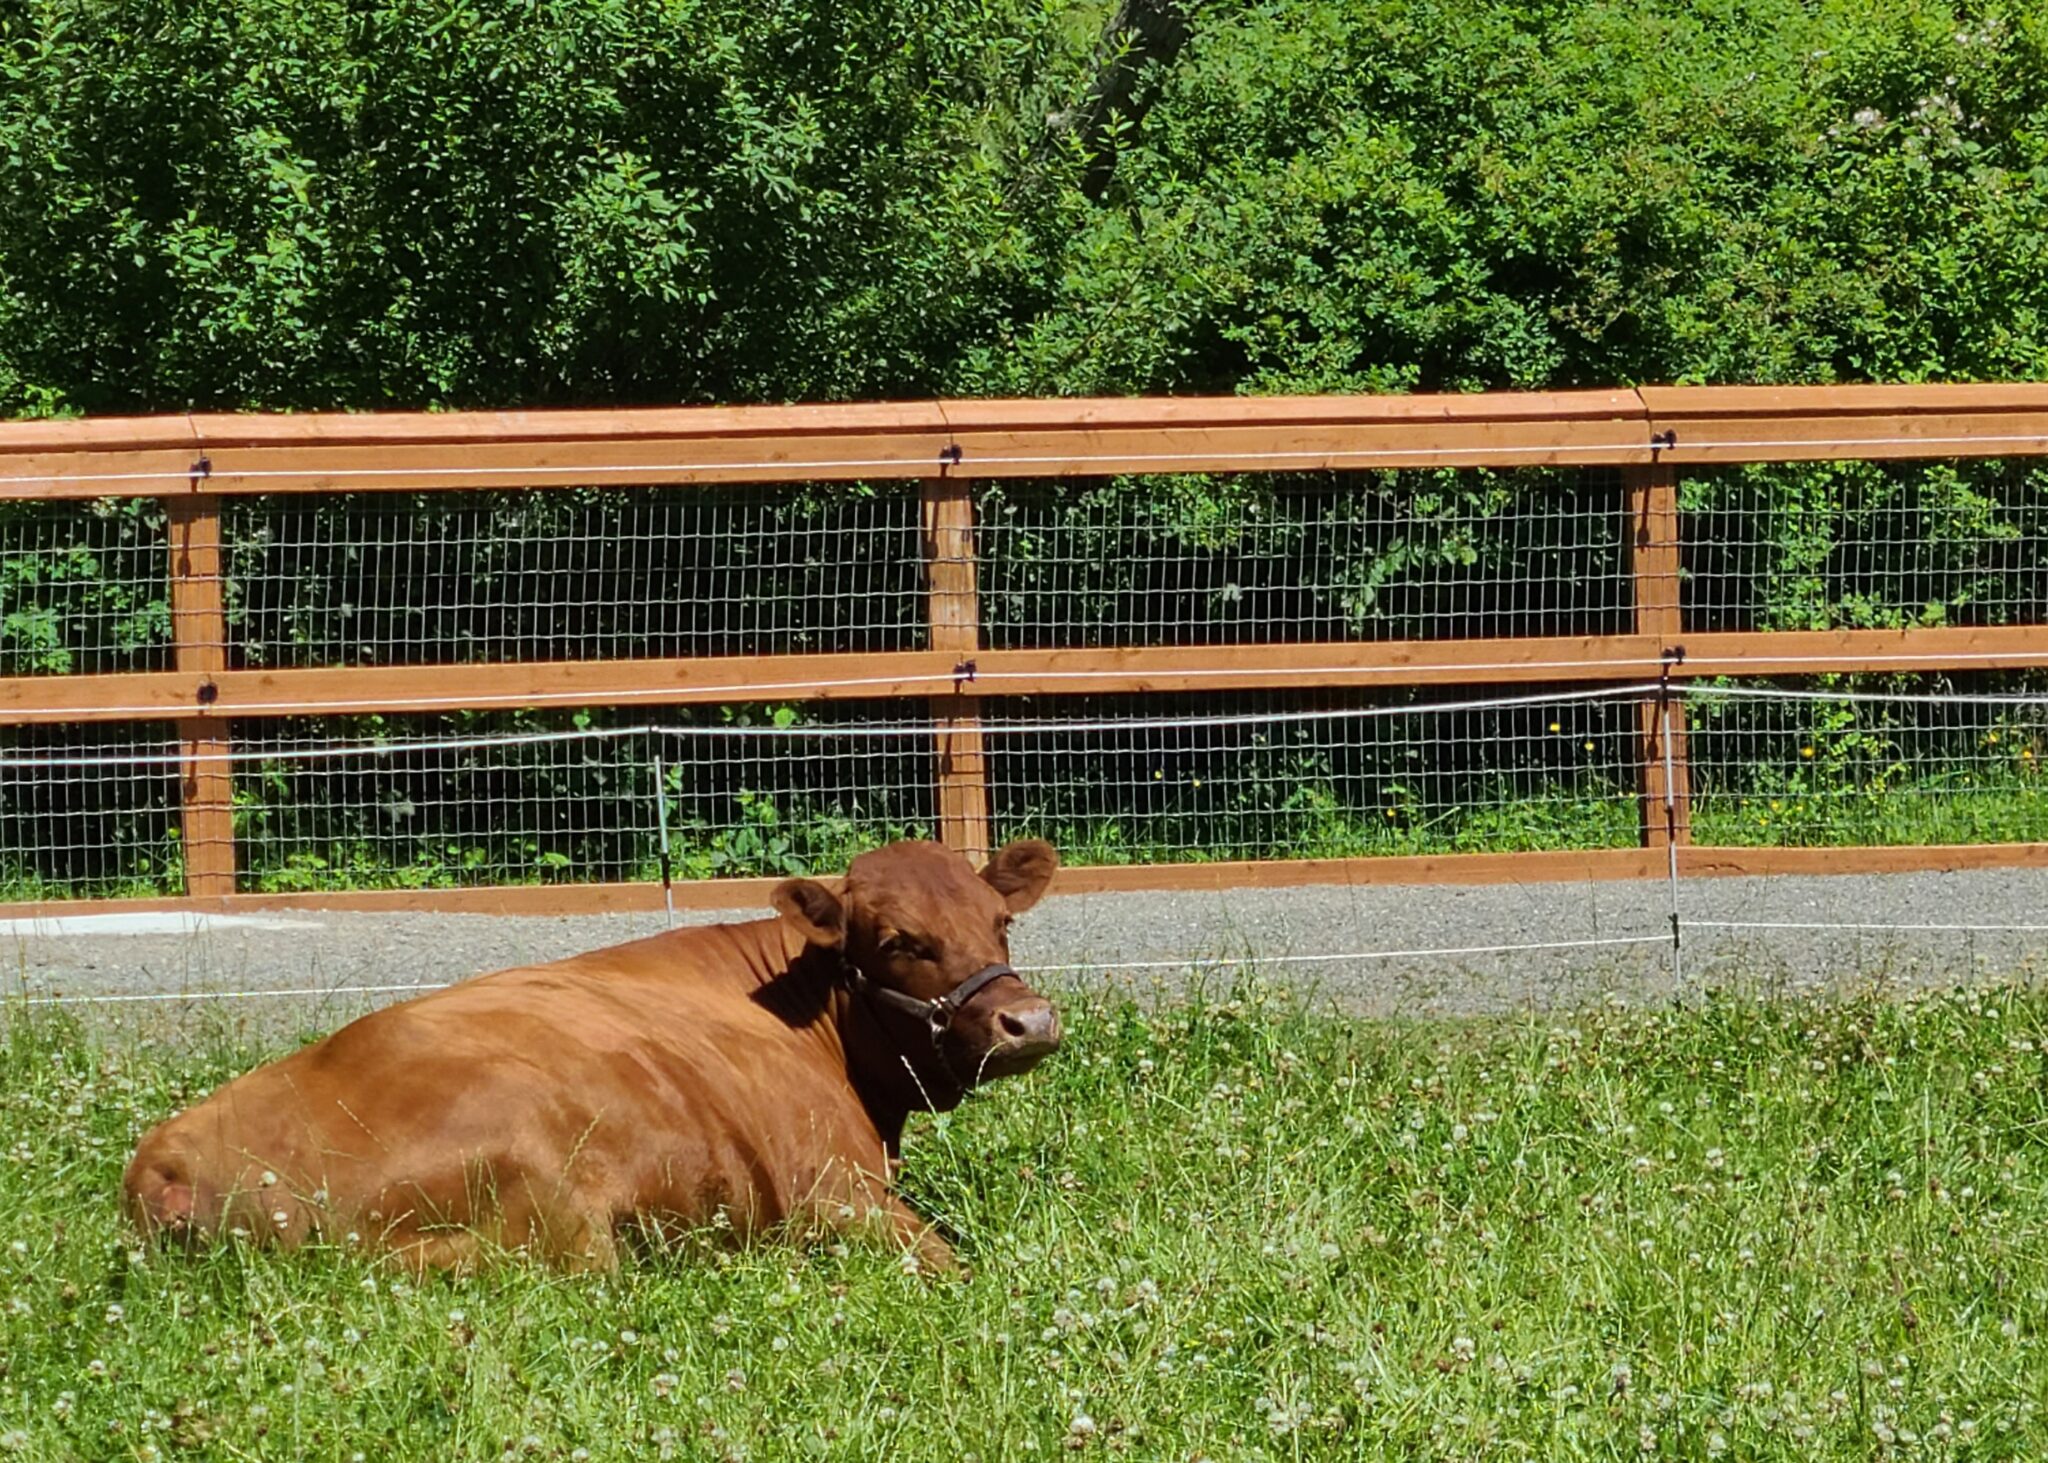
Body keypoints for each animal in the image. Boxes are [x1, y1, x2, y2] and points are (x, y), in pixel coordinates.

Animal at [123, 838, 1062, 1272]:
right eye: (900, 940)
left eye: (1000, 921)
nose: (1029, 1020)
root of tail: (163, 1168)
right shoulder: (836, 1191)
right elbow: (953, 1262)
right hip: (557, 1210)